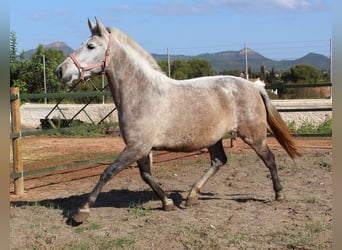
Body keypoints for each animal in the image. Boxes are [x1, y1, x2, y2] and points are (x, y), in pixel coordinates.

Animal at [55, 18, 300, 225]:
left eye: (90, 46)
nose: (60, 71)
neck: (142, 93)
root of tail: (254, 86)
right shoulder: (141, 148)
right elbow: (146, 175)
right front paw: (168, 203)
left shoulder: (137, 147)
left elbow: (108, 172)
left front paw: (81, 212)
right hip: (214, 139)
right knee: (219, 161)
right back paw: (191, 197)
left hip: (253, 136)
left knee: (269, 159)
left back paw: (279, 193)